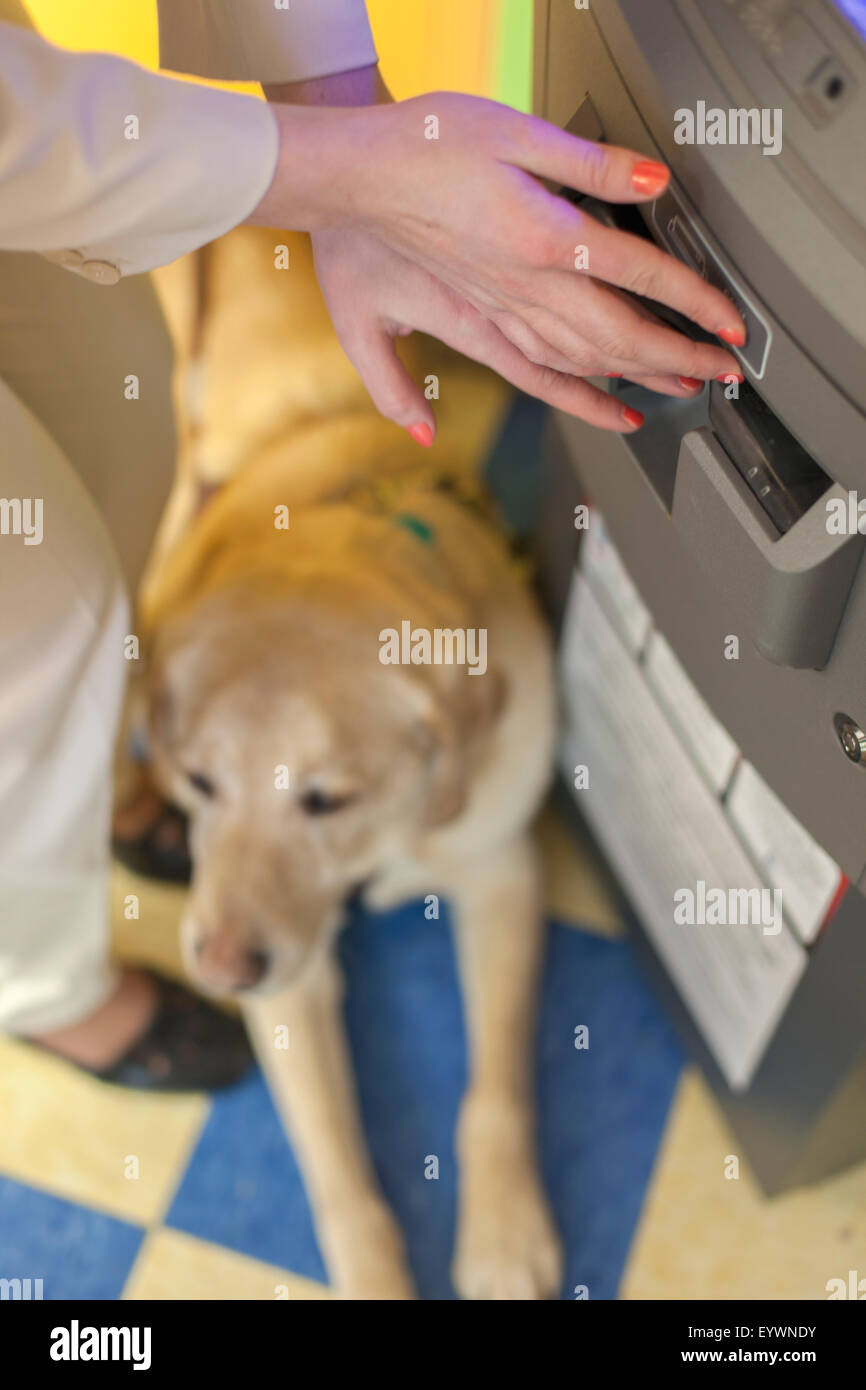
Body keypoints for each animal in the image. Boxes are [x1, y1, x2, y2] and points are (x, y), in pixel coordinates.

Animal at [140, 230, 561, 1301]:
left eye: (327, 799)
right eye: (203, 783)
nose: (219, 966)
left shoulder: (503, 871)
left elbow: (498, 1085)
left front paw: (504, 1235)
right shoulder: (287, 980)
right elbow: (342, 1177)